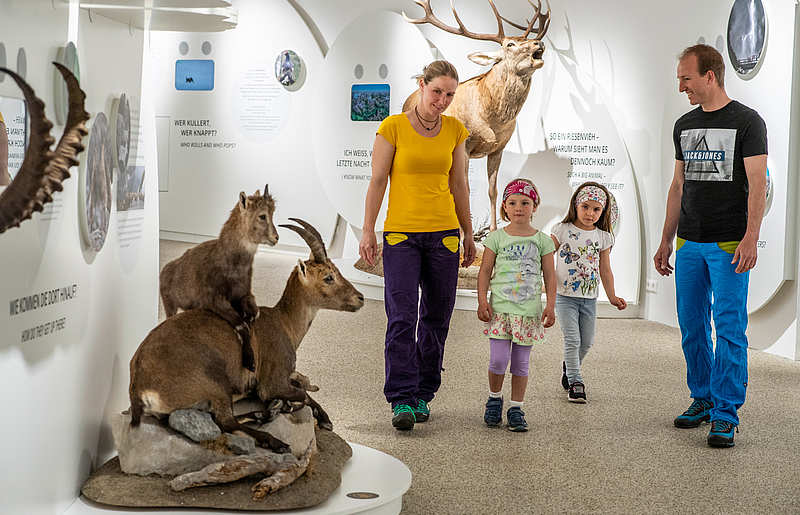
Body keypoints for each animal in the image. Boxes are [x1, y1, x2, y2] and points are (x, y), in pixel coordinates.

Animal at [406, 0, 552, 231]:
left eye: (527, 39)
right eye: (510, 44)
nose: (539, 43)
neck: (491, 120)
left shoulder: (498, 148)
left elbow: (492, 191)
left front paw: (492, 230)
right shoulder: (465, 147)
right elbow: (464, 190)